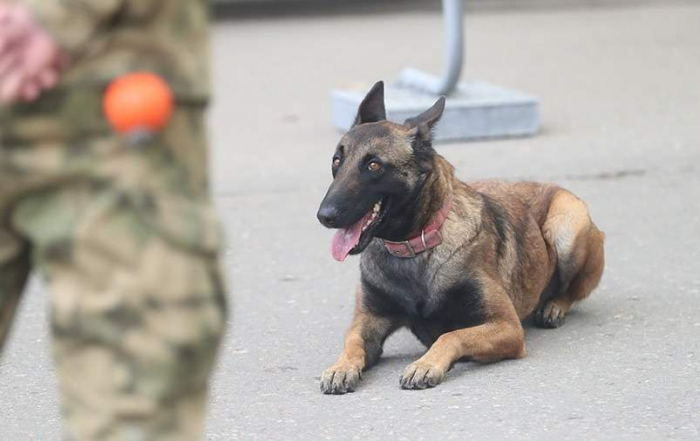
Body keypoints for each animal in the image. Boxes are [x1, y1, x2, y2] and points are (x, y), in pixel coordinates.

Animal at [314, 81, 604, 392]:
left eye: (373, 165)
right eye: (336, 161)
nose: (324, 216)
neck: (415, 247)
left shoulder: (507, 326)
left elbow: (451, 335)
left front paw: (426, 364)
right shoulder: (368, 320)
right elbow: (352, 342)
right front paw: (341, 367)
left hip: (567, 221)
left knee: (571, 291)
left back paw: (554, 307)